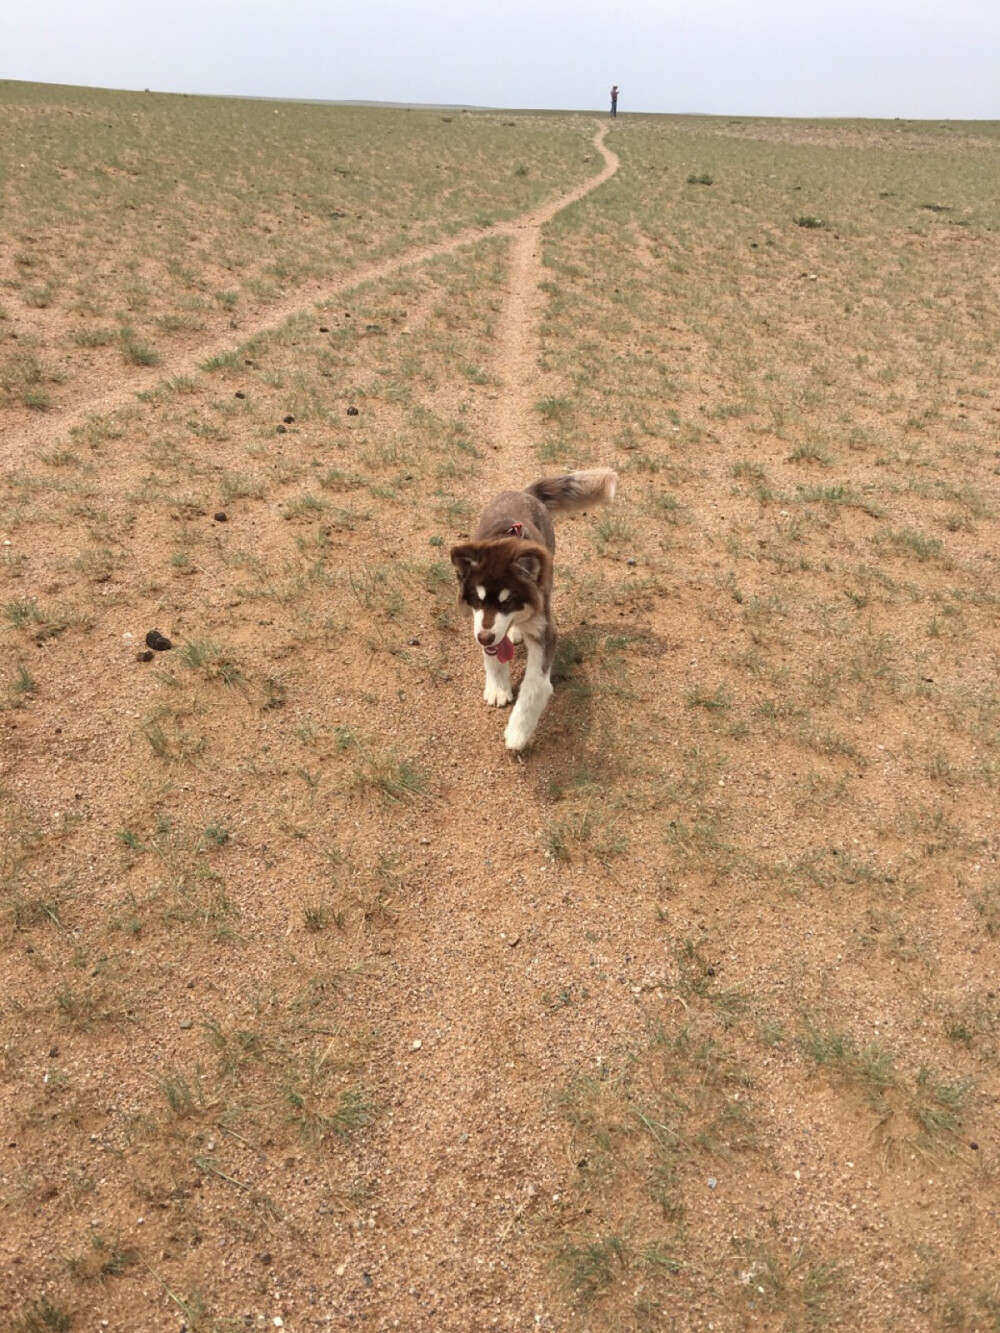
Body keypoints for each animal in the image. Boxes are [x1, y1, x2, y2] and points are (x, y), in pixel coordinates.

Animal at [453, 469, 618, 751]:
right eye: (477, 598)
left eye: (508, 602)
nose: (484, 638)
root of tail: (526, 492)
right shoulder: (482, 625)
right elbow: (493, 653)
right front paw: (498, 687)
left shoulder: (544, 629)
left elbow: (535, 686)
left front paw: (518, 731)